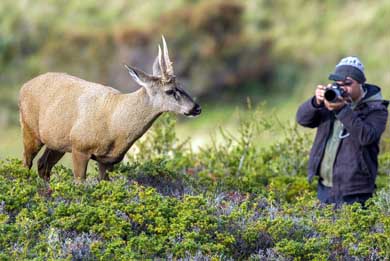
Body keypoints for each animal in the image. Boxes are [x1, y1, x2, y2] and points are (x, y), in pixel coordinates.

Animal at [18, 36, 201, 183]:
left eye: (181, 85)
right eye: (169, 90)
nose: (196, 108)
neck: (114, 124)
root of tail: (23, 87)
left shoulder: (106, 160)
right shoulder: (80, 147)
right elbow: (80, 182)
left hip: (57, 142)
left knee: (43, 165)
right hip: (30, 129)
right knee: (26, 162)